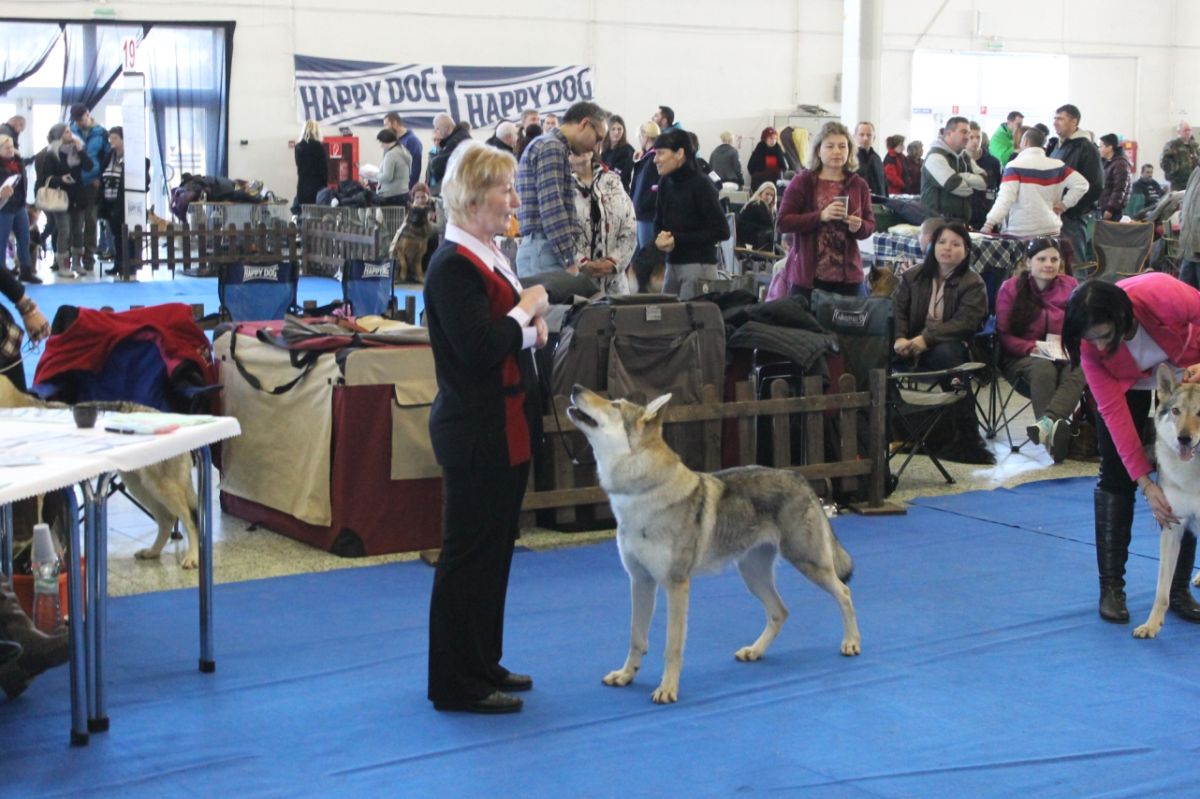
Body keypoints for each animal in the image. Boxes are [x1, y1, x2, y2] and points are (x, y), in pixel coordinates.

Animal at [0, 379, 201, 566]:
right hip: (140, 488)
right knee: (167, 520)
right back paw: (152, 552)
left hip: (162, 490)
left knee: (190, 521)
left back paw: (192, 557)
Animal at [566, 386, 859, 705]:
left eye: (615, 405)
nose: (575, 388)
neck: (638, 496)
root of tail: (800, 477)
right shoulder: (640, 581)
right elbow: (636, 638)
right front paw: (625, 676)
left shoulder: (676, 585)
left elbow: (672, 646)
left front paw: (667, 689)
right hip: (753, 577)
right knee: (780, 612)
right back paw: (754, 651)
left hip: (808, 564)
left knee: (844, 593)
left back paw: (851, 643)